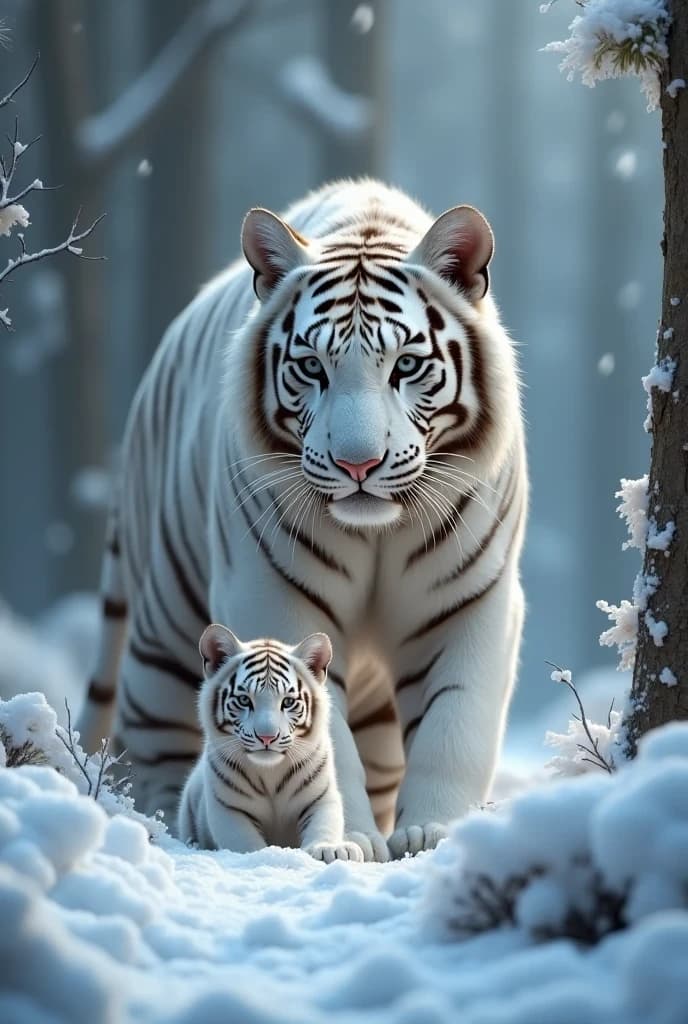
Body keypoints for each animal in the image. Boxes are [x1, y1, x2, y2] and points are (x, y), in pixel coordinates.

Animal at [178, 624, 362, 862]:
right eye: (244, 700)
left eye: (288, 702)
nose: (267, 737)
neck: (270, 774)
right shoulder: (228, 808)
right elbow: (244, 841)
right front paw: (263, 856)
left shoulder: (321, 797)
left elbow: (324, 823)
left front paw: (331, 850)